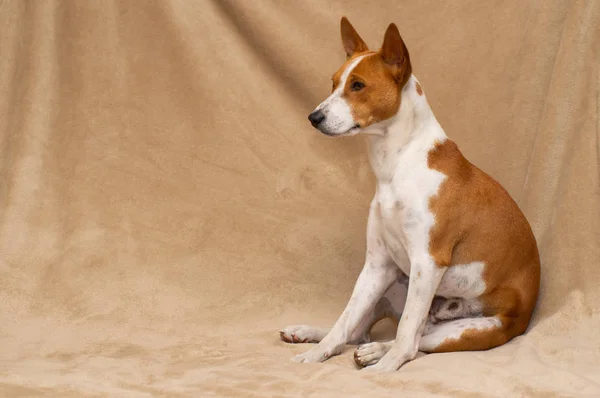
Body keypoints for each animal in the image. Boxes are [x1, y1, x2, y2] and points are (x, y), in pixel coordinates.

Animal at [278, 17, 540, 372]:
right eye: (333, 84)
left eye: (357, 85)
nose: (314, 117)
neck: (397, 166)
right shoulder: (377, 265)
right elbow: (345, 321)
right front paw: (319, 353)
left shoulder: (427, 262)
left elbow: (404, 333)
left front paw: (385, 368)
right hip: (393, 286)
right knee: (357, 332)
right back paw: (312, 334)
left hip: (460, 331)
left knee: (414, 341)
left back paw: (377, 353)